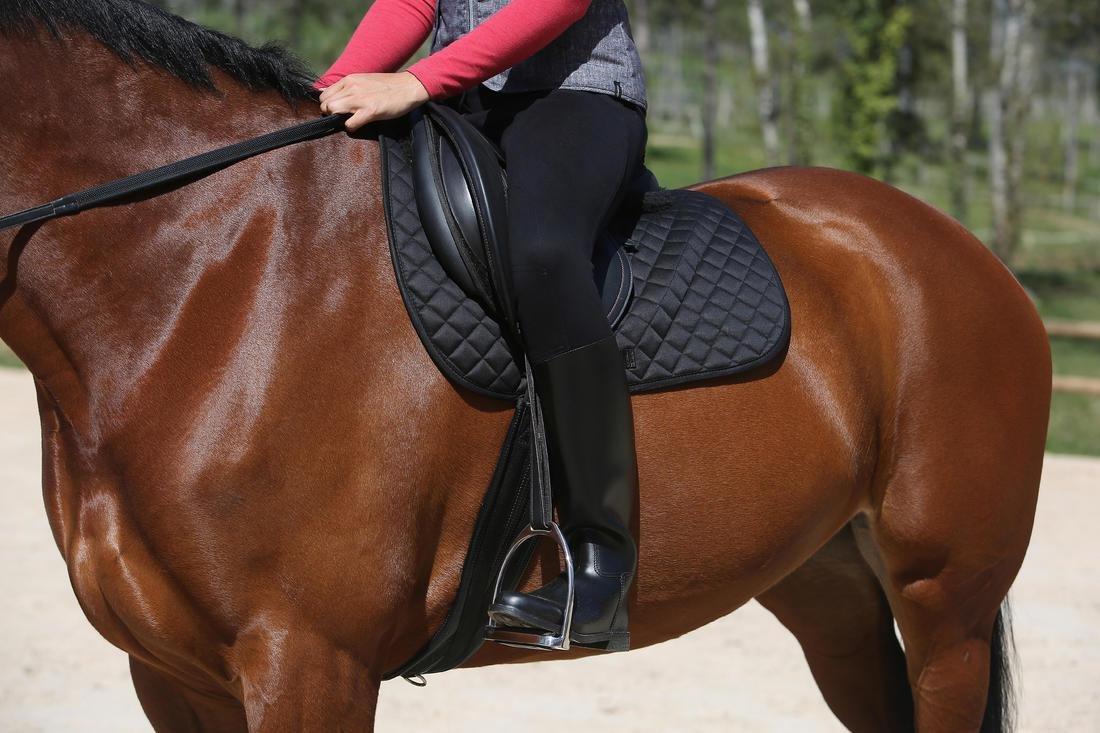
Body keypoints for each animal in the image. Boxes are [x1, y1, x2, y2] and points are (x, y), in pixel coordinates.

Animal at [0, 2, 1051, 731]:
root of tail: (965, 251)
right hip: (829, 586)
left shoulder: (307, 662)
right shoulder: (171, 673)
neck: (211, 272)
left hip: (945, 604)